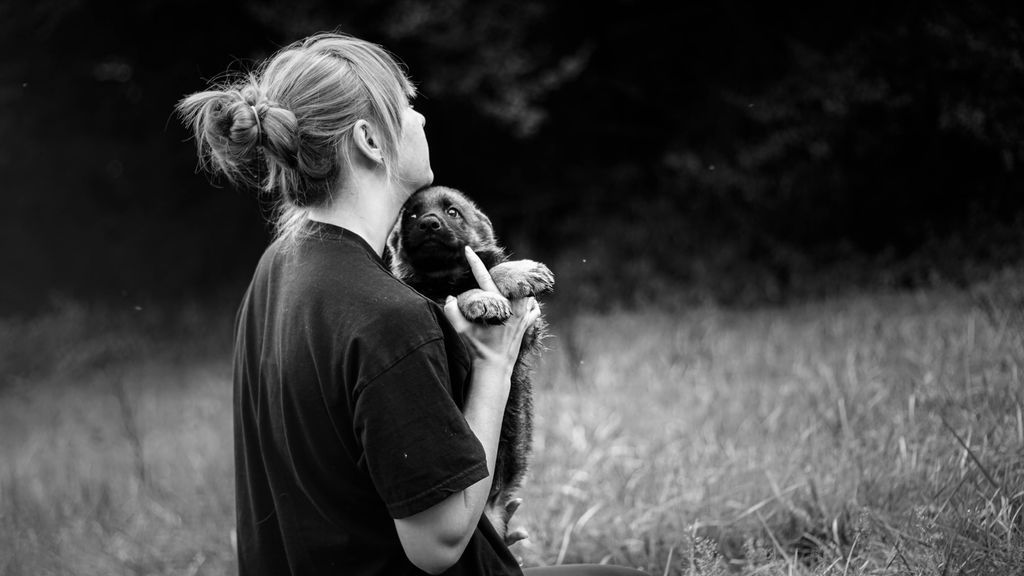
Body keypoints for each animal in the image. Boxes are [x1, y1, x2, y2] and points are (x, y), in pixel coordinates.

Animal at [389, 184, 552, 541]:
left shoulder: (529, 330)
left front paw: (517, 272)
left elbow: (489, 270)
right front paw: (481, 299)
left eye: (452, 212)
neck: (446, 276)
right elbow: (455, 297)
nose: (428, 224)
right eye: (411, 215)